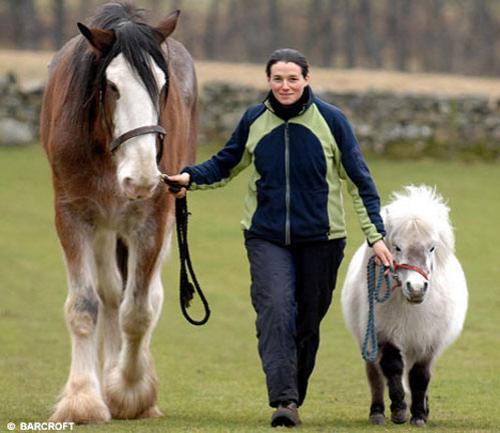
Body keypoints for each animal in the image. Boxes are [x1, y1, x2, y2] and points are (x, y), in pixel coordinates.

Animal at [40, 1, 197, 424]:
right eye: (112, 86)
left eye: (162, 85)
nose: (141, 177)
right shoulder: (74, 217)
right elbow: (85, 305)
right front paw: (83, 398)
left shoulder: (152, 220)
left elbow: (138, 311)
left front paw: (129, 392)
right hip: (104, 228)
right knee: (110, 294)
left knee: (145, 298)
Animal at [342, 185, 466, 426]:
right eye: (397, 247)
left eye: (432, 248)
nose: (416, 288)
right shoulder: (383, 334)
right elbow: (392, 368)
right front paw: (399, 410)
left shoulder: (429, 341)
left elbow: (420, 376)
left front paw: (418, 415)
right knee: (375, 375)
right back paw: (377, 413)